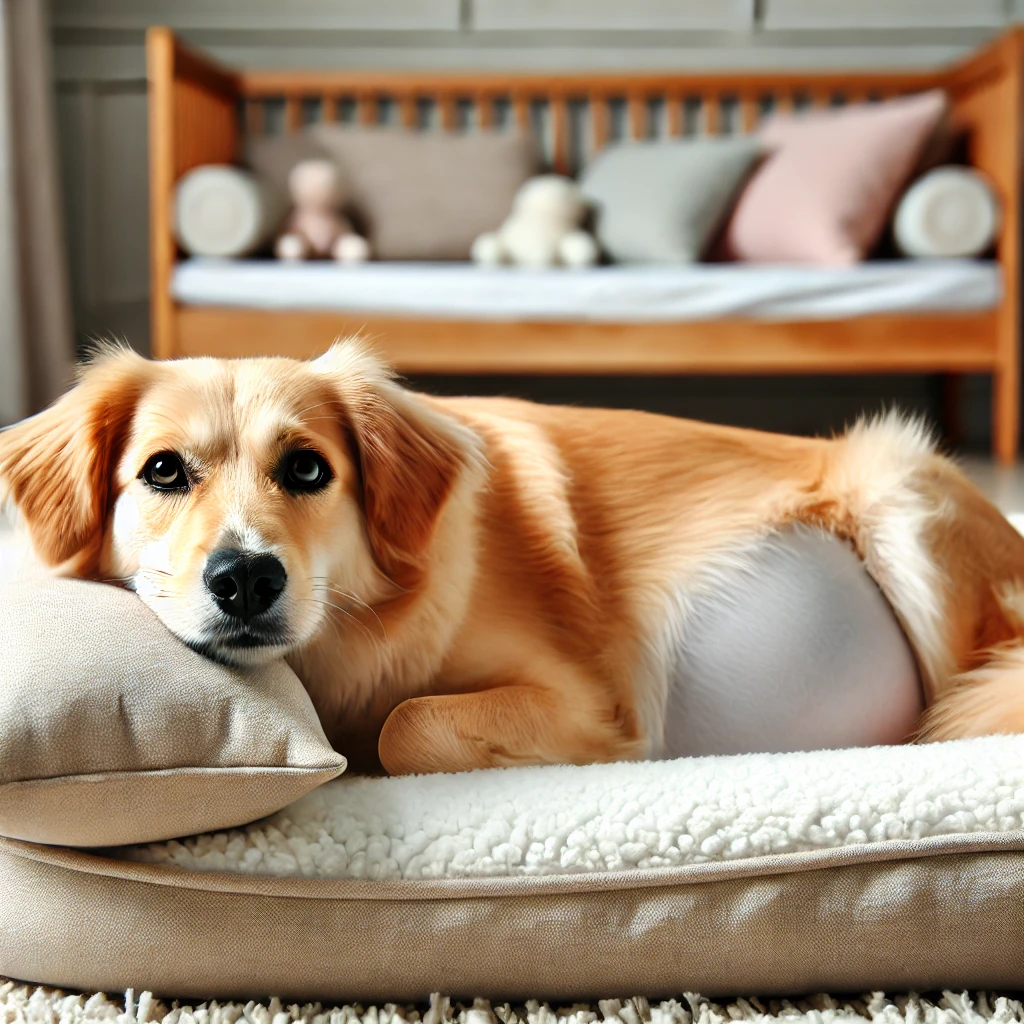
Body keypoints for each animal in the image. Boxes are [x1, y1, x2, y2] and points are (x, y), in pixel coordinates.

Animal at [2, 339, 1024, 770]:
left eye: (307, 468)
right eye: (163, 471)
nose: (247, 578)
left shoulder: (588, 703)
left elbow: (407, 726)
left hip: (905, 499)